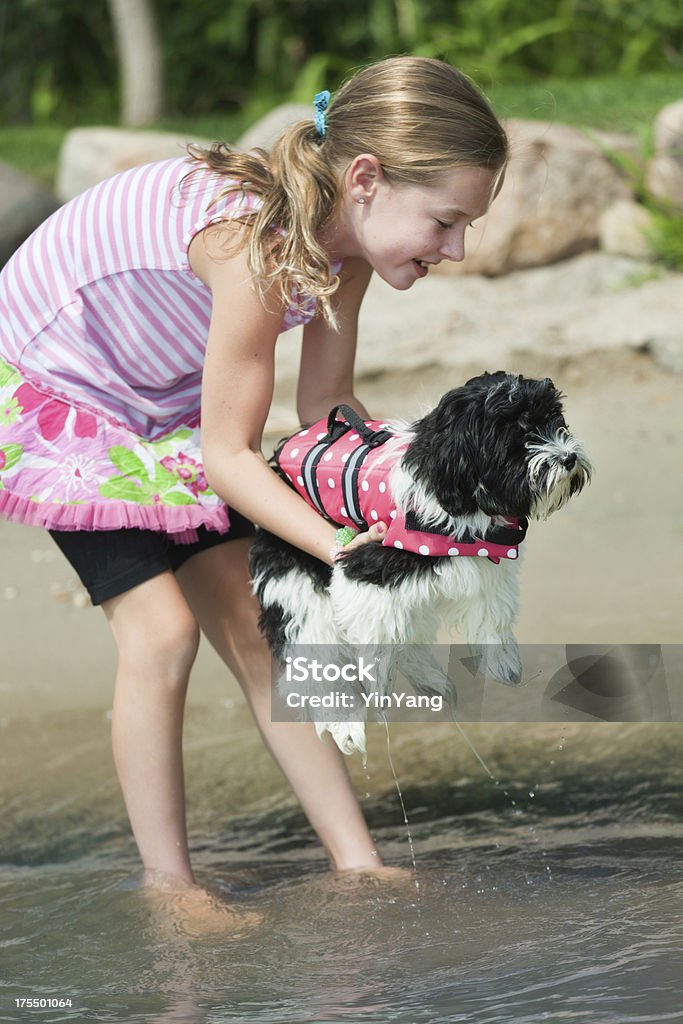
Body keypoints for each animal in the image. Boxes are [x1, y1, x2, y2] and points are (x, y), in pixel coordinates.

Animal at [250, 372, 593, 757]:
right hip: (294, 567)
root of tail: (277, 463)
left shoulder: (484, 560)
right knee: (312, 641)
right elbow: (376, 634)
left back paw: (432, 682)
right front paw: (378, 686)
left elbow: (490, 610)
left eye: (554, 421)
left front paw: (501, 662)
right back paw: (344, 721)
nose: (568, 458)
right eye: (518, 440)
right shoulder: (368, 564)